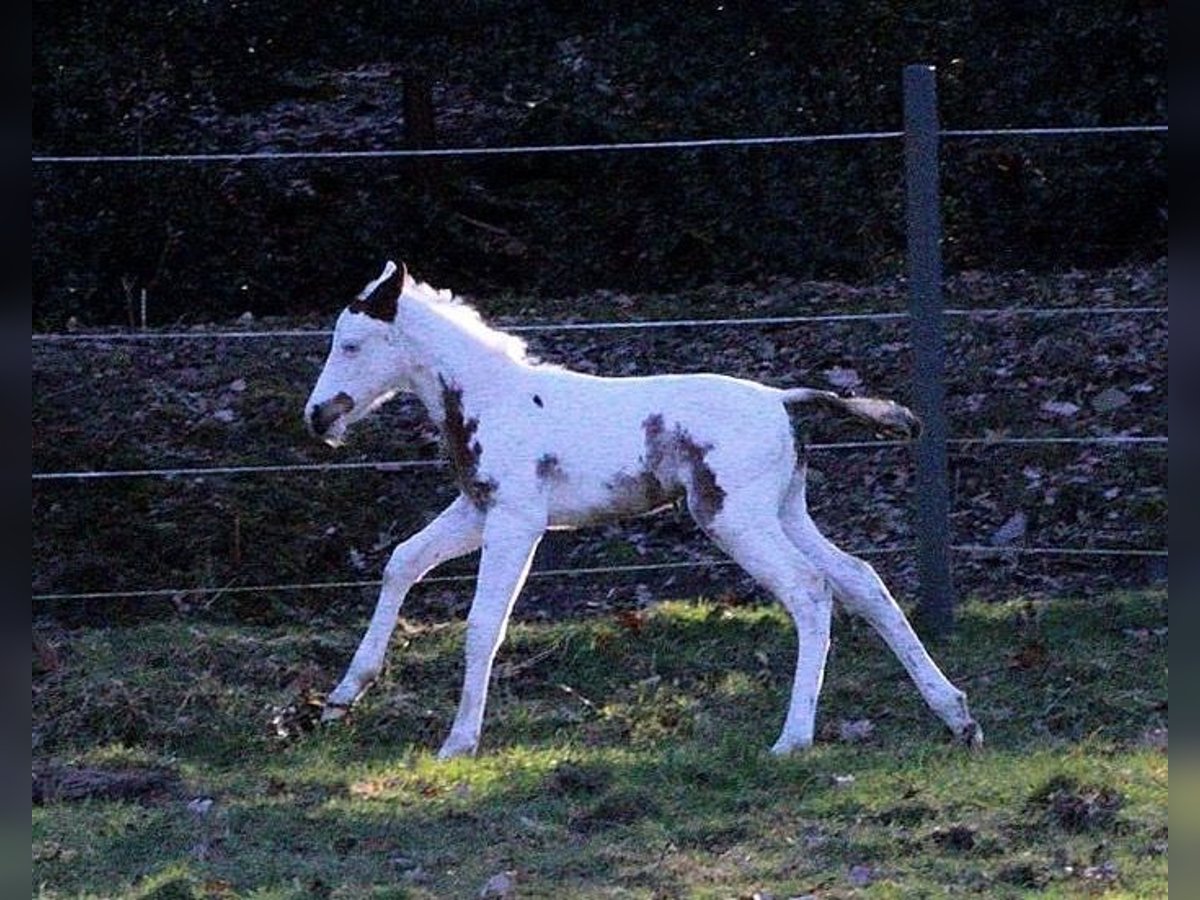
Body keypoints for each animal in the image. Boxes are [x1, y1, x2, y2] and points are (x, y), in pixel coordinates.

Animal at [304, 262, 979, 763]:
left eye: (352, 344)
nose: (317, 416)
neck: (491, 400)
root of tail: (784, 400)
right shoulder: (476, 511)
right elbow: (402, 562)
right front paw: (342, 696)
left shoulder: (517, 521)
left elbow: (482, 623)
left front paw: (459, 742)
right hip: (785, 513)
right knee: (862, 579)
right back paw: (956, 714)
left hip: (735, 519)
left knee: (811, 591)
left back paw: (793, 739)